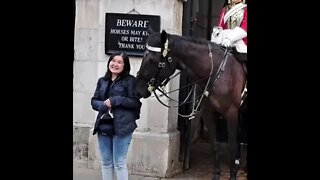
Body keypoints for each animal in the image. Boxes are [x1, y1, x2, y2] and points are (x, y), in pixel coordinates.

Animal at [134, 28, 246, 179]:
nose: (137, 91)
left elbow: (232, 146)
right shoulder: (209, 114)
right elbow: (215, 145)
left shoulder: (231, 113)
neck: (218, 73)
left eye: (152, 60)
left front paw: (233, 174)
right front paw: (217, 174)